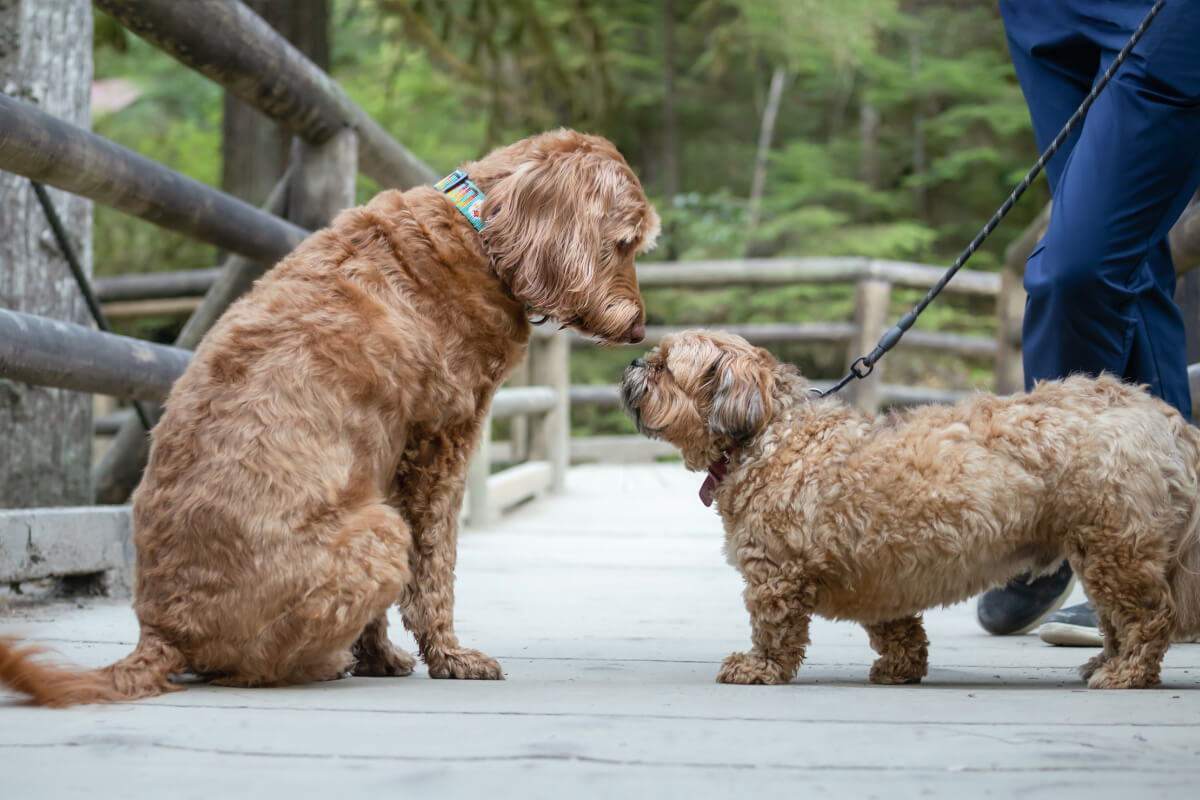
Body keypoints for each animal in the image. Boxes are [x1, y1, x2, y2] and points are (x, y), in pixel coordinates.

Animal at [0, 126, 657, 705]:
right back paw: (325, 664)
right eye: (625, 241)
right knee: (258, 669)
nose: (638, 330)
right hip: (377, 534)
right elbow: (435, 569)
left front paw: (381, 657)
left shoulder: (385, 463)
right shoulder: (440, 445)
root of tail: (163, 632)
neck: (478, 231)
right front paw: (450, 658)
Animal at [624, 331, 1200, 690]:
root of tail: (1162, 416)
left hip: (1114, 549)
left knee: (1149, 619)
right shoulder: (882, 570)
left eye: (664, 365)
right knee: (1117, 620)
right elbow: (897, 629)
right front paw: (902, 667)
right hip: (1105, 551)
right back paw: (1106, 660)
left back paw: (1126, 673)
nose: (632, 362)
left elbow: (774, 628)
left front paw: (759, 667)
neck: (769, 430)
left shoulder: (775, 573)